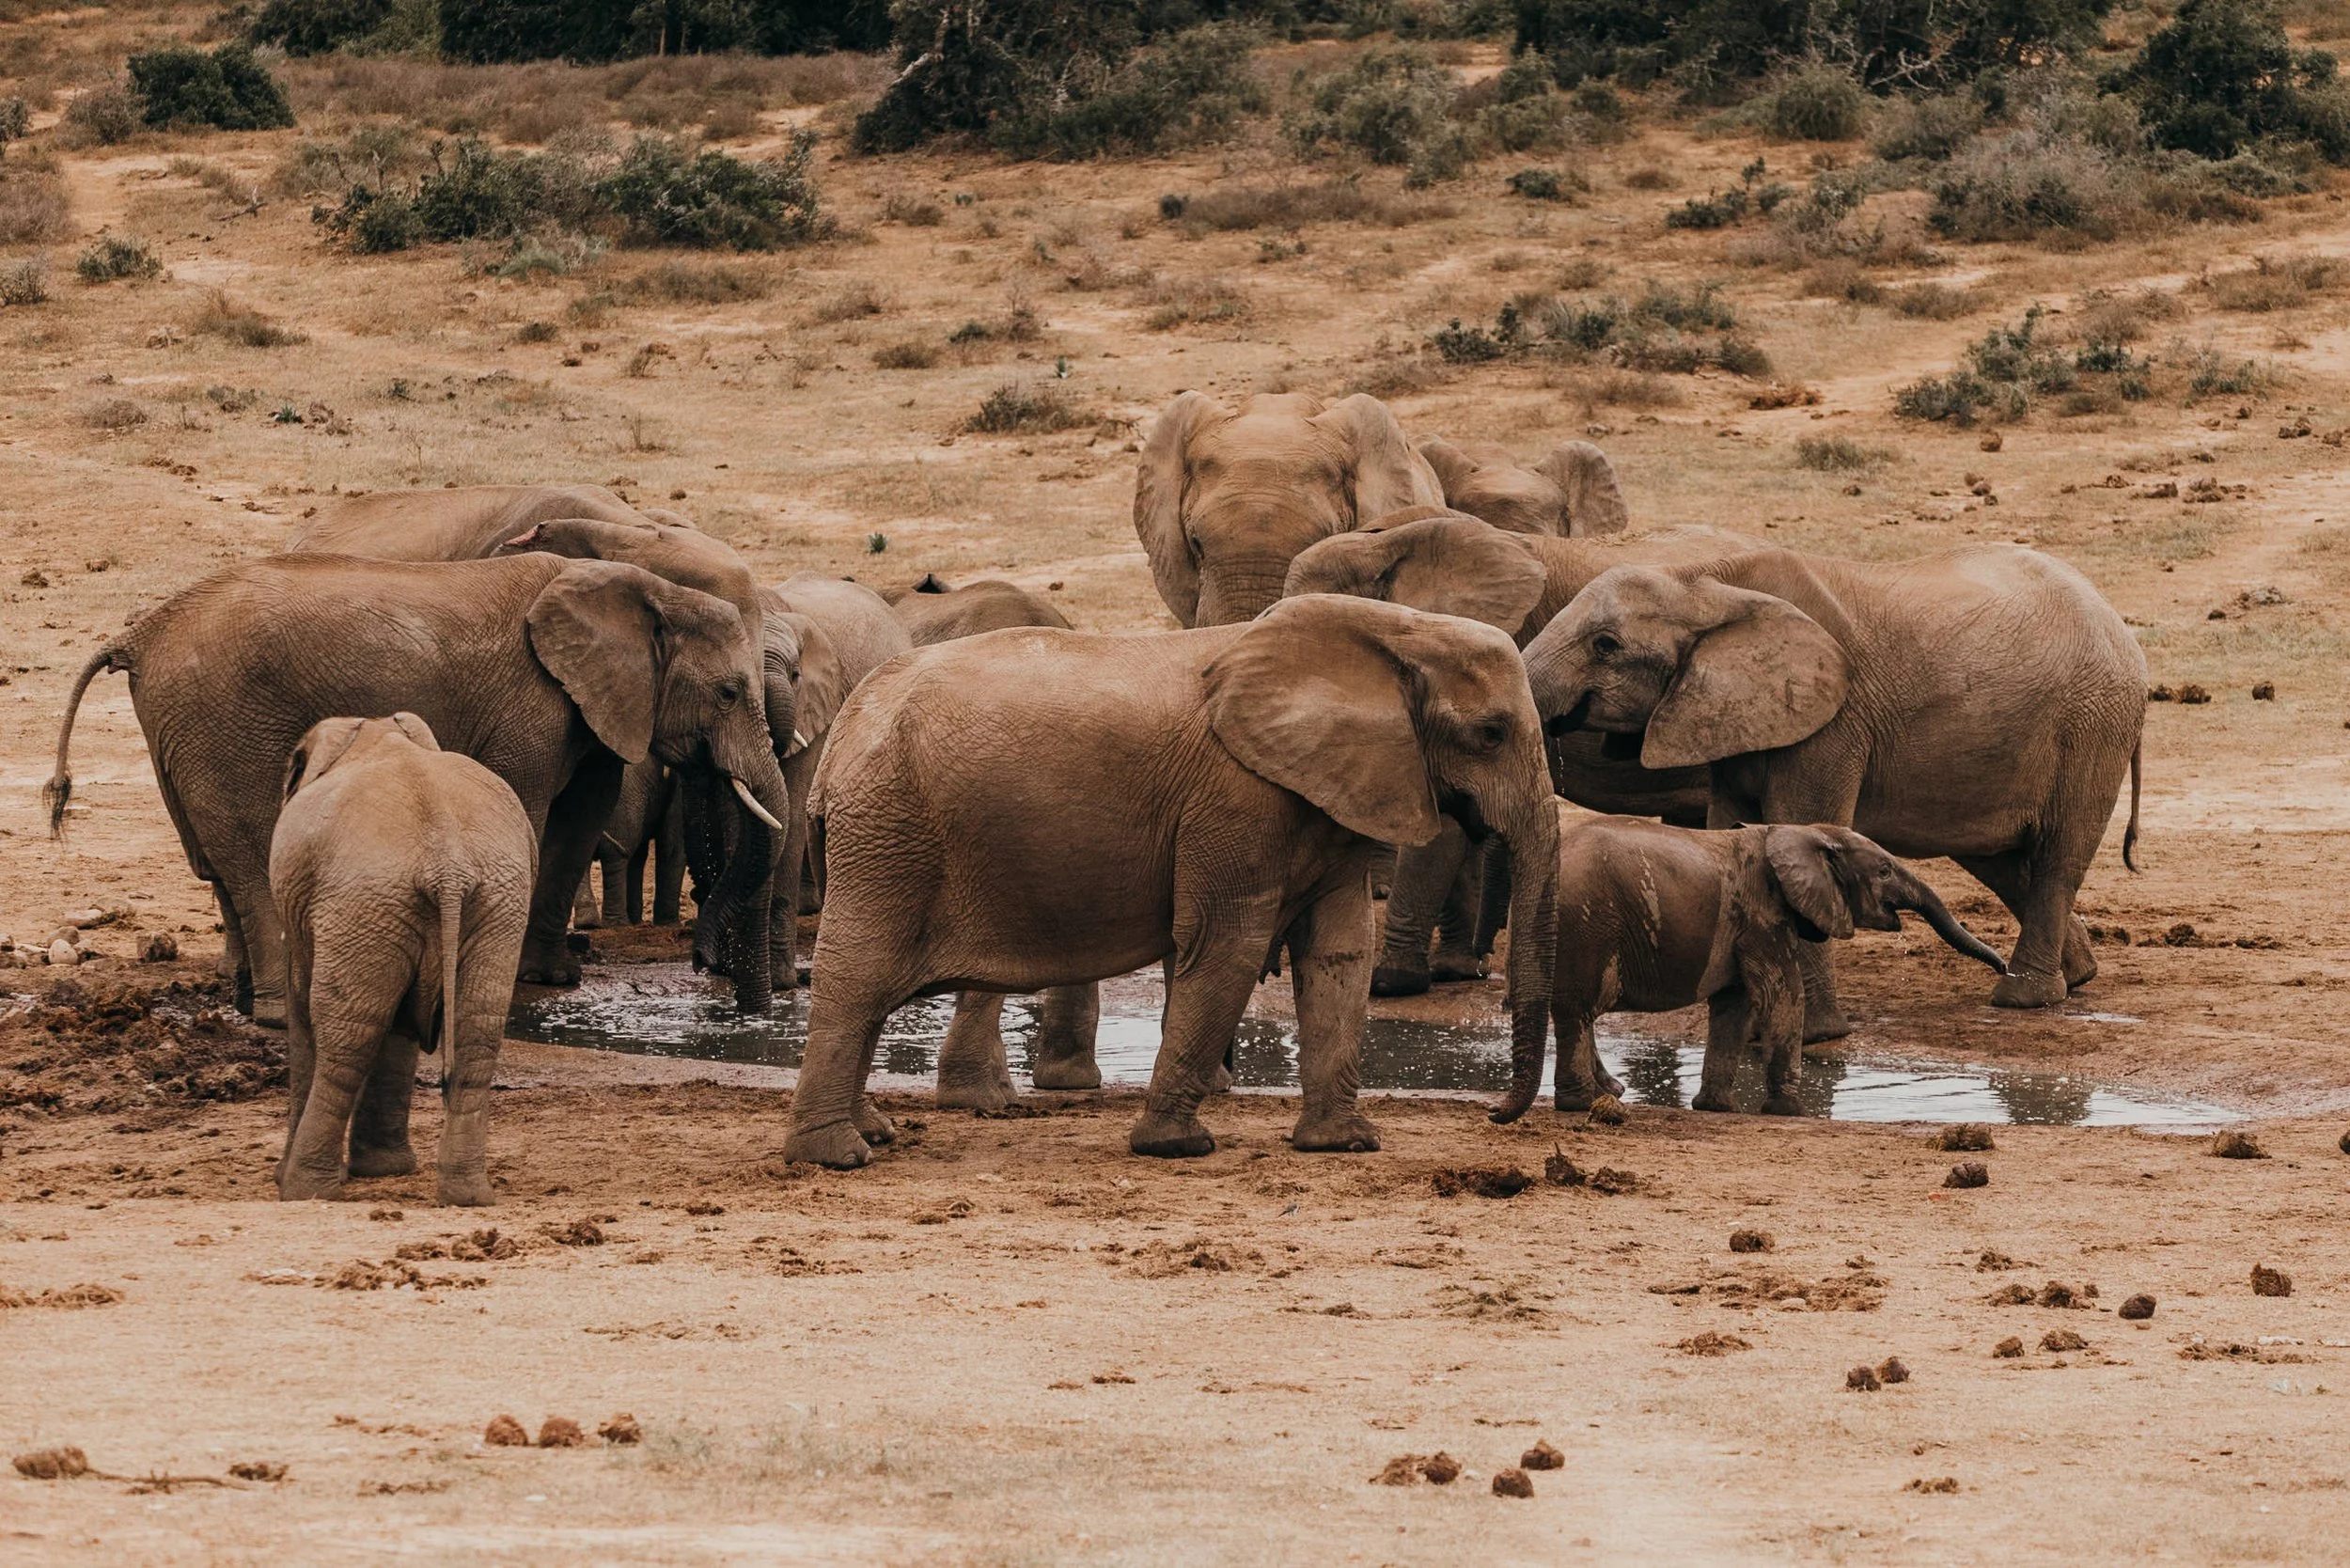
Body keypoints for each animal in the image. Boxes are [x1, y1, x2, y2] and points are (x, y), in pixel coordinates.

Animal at [47, 553, 792, 1026]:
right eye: (729, 693)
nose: (703, 967)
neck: (645, 586)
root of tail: (141, 631)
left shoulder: (593, 706)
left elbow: (581, 819)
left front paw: (553, 980)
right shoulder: (532, 703)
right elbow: (529, 806)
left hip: (176, 727)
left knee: (211, 859)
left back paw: (243, 1001)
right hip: (221, 720)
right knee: (251, 851)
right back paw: (275, 1015)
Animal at [270, 714, 536, 1205]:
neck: (374, 729)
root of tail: (448, 866)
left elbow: (303, 1002)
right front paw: (385, 1171)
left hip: (362, 900)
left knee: (347, 1034)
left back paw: (303, 1190)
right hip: (493, 904)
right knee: (477, 1030)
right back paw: (467, 1195)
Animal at [781, 594, 1560, 1169]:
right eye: (1491, 733)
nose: (1500, 1115)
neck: (1396, 629)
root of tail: (843, 737)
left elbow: (1339, 953)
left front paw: (1345, 1145)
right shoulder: (1237, 799)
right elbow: (1227, 948)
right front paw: (1179, 1147)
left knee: (870, 991)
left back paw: (874, 1134)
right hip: (890, 835)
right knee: (859, 978)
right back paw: (838, 1155)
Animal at [1491, 817, 2005, 1122]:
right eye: (1882, 871)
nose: (2002, 969)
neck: (1800, 832)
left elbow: (1735, 1005)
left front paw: (1716, 1108)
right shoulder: (1763, 916)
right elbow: (1782, 994)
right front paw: (1792, 1112)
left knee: (1576, 1013)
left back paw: (1607, 1094)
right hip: (1587, 923)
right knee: (1577, 1011)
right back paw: (1582, 1104)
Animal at [1522, 544, 2146, 1025]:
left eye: (1605, 645)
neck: (1706, 582)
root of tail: (2120, 627)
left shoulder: (1831, 721)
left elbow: (1797, 825)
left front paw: (1816, 1034)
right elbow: (1730, 833)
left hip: (2093, 726)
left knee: (2058, 857)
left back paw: (2023, 999)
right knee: (2001, 860)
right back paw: (2073, 977)